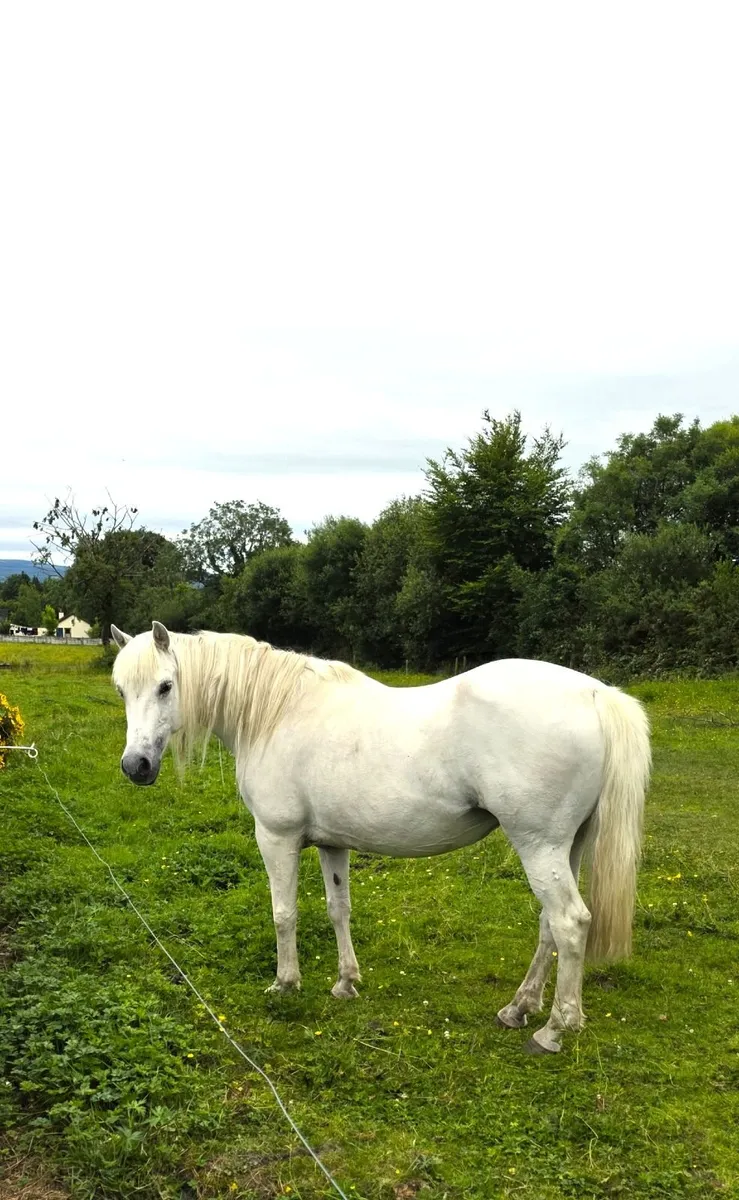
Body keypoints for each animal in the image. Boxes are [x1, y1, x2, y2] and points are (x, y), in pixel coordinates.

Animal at [111, 620, 650, 1054]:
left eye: (165, 686)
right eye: (120, 690)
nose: (136, 766)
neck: (275, 712)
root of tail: (596, 694)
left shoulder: (277, 838)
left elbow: (284, 914)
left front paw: (286, 984)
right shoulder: (332, 843)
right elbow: (338, 909)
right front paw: (346, 983)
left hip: (539, 847)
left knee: (570, 923)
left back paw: (554, 1029)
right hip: (565, 847)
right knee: (549, 926)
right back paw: (520, 1008)